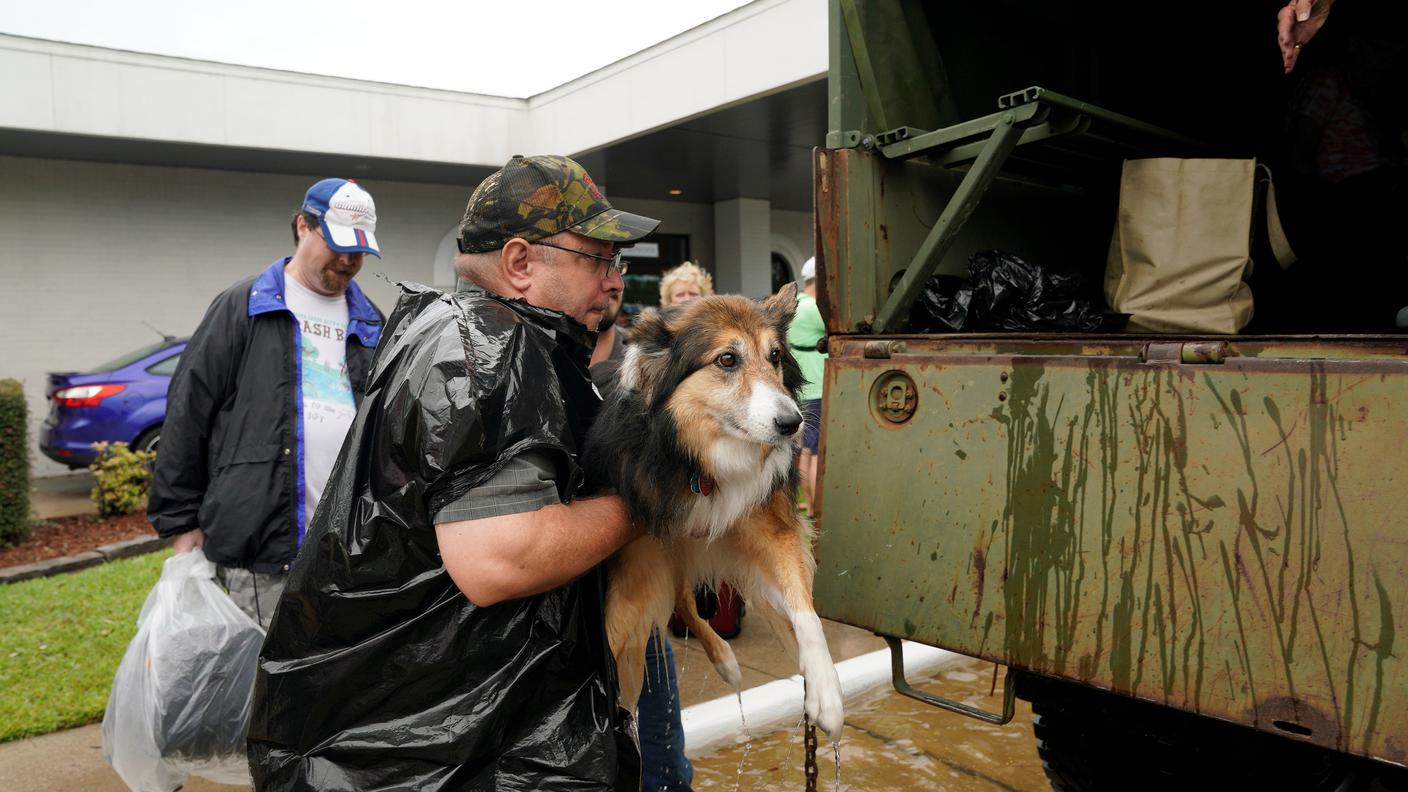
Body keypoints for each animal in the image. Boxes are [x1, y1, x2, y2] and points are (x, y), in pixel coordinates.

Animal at [577, 281, 839, 732]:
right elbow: (615, 643)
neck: (698, 456)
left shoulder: (767, 524)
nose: (793, 424)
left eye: (775, 356)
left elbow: (805, 610)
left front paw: (826, 692)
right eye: (727, 359)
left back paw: (727, 662)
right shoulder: (636, 561)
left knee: (683, 595)